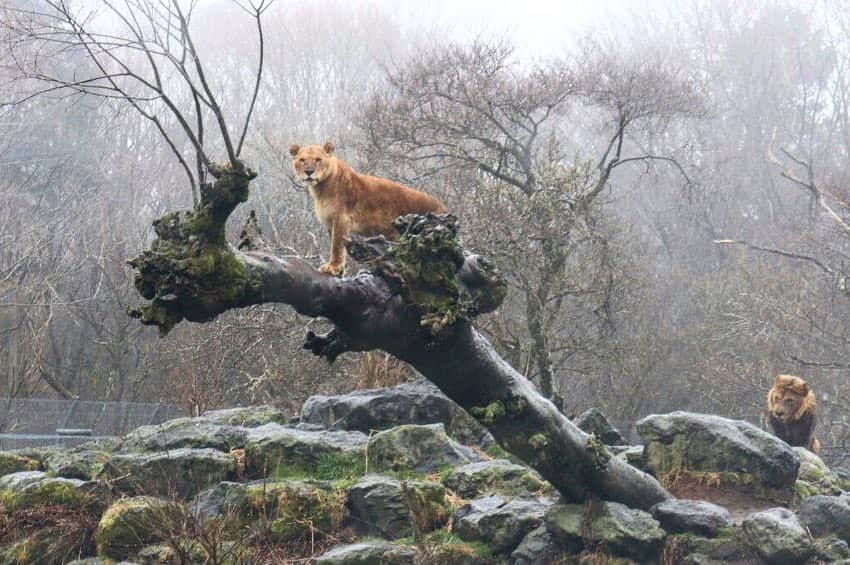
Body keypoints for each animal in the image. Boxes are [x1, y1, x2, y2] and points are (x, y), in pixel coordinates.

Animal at [288, 140, 448, 274]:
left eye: (318, 160)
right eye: (302, 160)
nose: (309, 172)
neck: (320, 189)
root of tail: (444, 208)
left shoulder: (341, 218)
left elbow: (336, 245)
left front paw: (333, 267)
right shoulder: (330, 221)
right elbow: (338, 246)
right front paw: (339, 269)